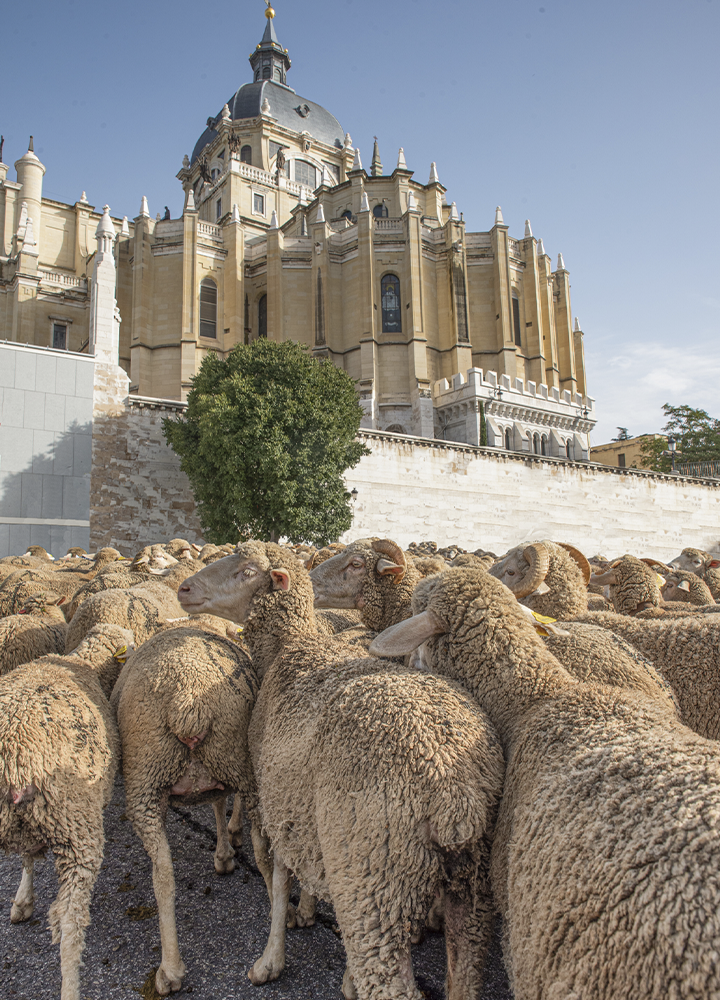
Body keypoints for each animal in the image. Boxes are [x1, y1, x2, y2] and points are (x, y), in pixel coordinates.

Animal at [0, 625, 129, 1000]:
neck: (80, 663)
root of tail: (12, 764)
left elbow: (26, 858)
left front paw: (22, 899)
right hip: (77, 830)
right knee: (70, 924)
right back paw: (70, 987)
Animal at [110, 624, 259, 996]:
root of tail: (189, 702)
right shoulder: (216, 780)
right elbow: (218, 804)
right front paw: (224, 854)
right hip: (236, 761)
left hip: (145, 780)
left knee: (162, 874)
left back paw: (169, 971)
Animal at [178, 543, 506, 1000]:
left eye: (247, 571)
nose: (184, 588)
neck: (291, 646)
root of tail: (455, 789)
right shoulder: (299, 807)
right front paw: (309, 915)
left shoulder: (277, 796)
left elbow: (279, 877)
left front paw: (270, 959)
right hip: (470, 888)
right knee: (465, 970)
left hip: (372, 874)